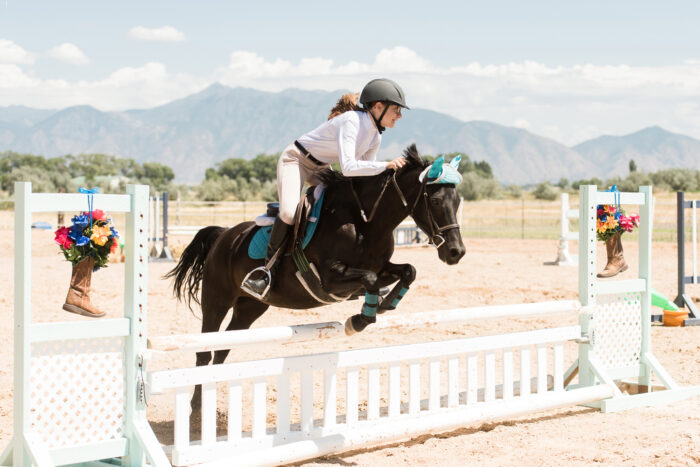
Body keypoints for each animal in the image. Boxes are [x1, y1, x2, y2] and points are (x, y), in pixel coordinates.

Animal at [166, 144, 466, 409]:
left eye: (458, 201)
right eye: (435, 200)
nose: (456, 252)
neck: (366, 221)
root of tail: (224, 235)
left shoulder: (382, 267)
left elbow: (407, 271)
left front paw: (384, 303)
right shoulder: (329, 278)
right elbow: (369, 278)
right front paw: (358, 320)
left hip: (250, 307)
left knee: (222, 349)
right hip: (217, 300)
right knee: (204, 350)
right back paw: (196, 408)